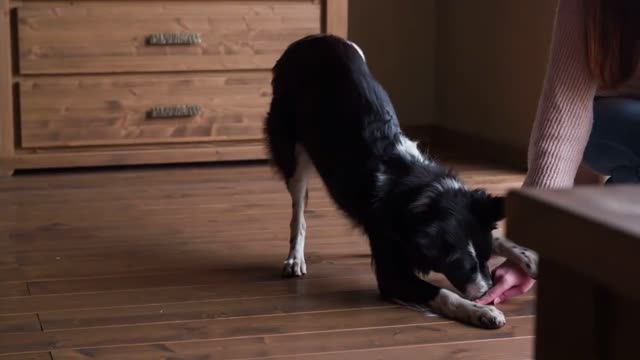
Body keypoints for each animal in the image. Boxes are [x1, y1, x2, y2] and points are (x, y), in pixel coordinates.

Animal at [262, 34, 536, 330]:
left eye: (485, 260)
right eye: (459, 266)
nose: (488, 292)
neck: (425, 196)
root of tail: (311, 39)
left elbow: (499, 238)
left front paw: (529, 257)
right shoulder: (393, 275)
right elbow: (443, 293)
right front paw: (481, 311)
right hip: (293, 154)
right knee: (298, 212)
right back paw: (295, 258)